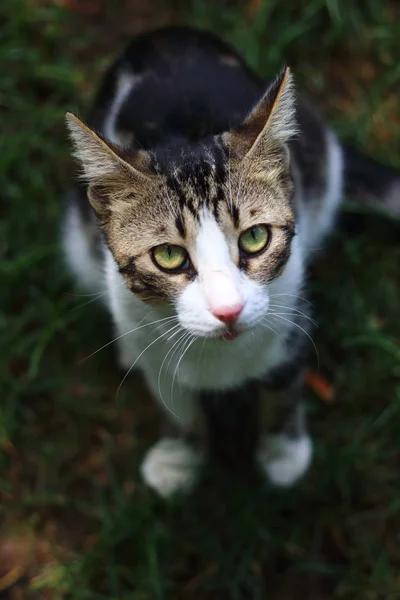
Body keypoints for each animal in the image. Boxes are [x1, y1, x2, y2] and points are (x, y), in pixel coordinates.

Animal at [63, 25, 400, 496]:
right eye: (169, 255)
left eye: (256, 237)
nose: (228, 310)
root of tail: (167, 33)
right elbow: (173, 398)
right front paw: (179, 456)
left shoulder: (291, 306)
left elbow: (284, 383)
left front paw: (284, 453)